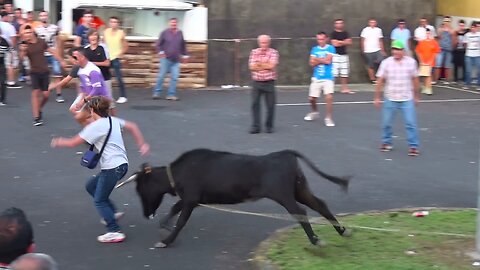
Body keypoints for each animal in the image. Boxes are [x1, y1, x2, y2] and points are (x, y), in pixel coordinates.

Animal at [116, 149, 352, 248]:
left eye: (140, 188)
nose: (146, 214)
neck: (177, 172)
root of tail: (285, 153)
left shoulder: (191, 199)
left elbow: (181, 219)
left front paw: (166, 240)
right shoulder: (192, 199)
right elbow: (174, 209)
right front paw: (165, 225)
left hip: (284, 195)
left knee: (301, 212)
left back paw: (316, 239)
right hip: (299, 189)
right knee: (319, 204)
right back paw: (342, 231)